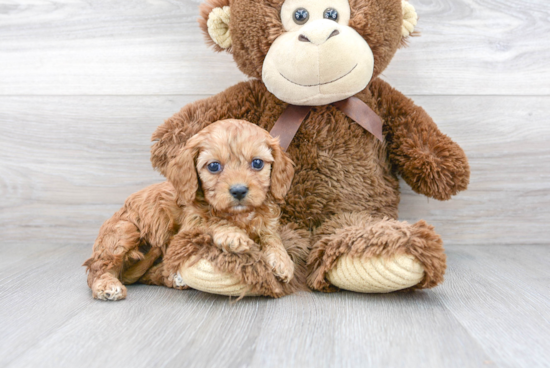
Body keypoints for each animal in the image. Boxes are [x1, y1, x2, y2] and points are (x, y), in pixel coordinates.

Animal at [83, 119, 296, 300]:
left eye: (257, 163)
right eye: (214, 166)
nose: (238, 190)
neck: (238, 215)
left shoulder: (266, 223)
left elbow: (272, 237)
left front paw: (282, 260)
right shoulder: (191, 224)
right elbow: (212, 221)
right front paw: (232, 235)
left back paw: (175, 279)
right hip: (124, 231)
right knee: (98, 268)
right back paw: (107, 285)